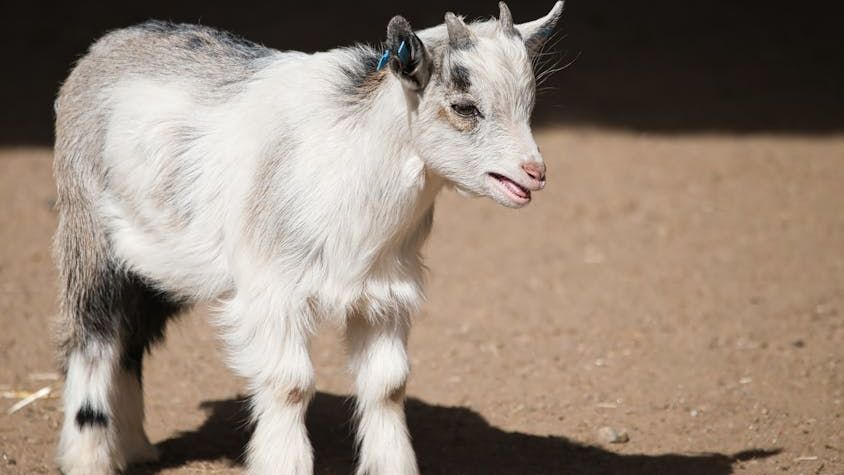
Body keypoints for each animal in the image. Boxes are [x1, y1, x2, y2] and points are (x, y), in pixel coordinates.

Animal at [52, 2, 563, 474]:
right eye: (464, 107)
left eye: (528, 104)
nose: (534, 174)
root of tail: (106, 46)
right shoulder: (273, 292)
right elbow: (289, 384)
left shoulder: (384, 294)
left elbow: (388, 385)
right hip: (90, 238)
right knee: (95, 336)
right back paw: (89, 458)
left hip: (156, 261)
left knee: (130, 339)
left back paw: (135, 448)